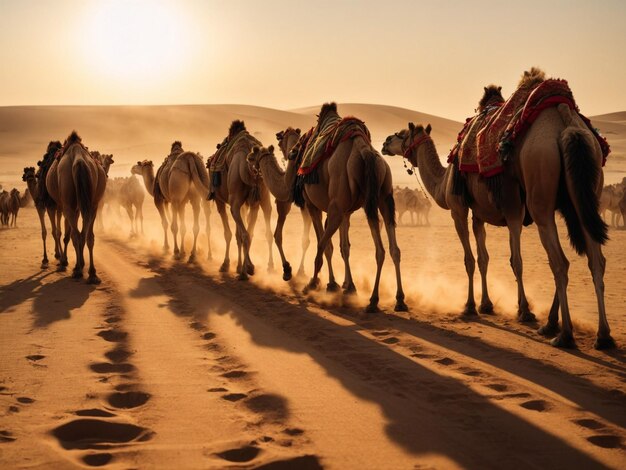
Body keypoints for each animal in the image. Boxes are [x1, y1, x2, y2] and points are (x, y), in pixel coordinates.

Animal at [45, 130, 106, 282]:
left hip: (68, 203)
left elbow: (68, 234)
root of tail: (79, 160)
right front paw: (81, 264)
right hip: (93, 204)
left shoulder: (67, 205)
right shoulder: (81, 206)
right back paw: (92, 273)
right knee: (87, 235)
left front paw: (66, 262)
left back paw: (77, 270)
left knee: (75, 234)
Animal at [207, 121, 272, 280]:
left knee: (244, 235)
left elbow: (229, 234)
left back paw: (246, 270)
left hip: (233, 201)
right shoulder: (248, 204)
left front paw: (226, 265)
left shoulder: (221, 201)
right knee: (254, 233)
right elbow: (239, 235)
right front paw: (237, 266)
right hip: (261, 196)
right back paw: (260, 267)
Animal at [246, 126, 336, 282]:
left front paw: (287, 269)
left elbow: (278, 235)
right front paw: (304, 272)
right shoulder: (306, 205)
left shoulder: (287, 202)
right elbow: (307, 240)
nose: (248, 157)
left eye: (254, 153)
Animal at [288, 104, 404, 314]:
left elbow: (327, 245)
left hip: (338, 205)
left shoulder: (316, 206)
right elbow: (344, 247)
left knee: (327, 244)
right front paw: (348, 287)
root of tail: (365, 152)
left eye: (300, 141)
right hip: (384, 197)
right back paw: (397, 300)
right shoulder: (347, 212)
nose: (292, 152)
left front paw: (329, 285)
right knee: (392, 249)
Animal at [382, 71, 612, 348]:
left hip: (539, 192)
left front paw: (476, 306)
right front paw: (487, 304)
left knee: (559, 262)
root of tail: (565, 119)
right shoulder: (479, 215)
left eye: (400, 134)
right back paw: (598, 335)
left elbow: (478, 259)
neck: (444, 182)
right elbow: (484, 259)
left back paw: (563, 334)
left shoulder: (462, 208)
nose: (384, 142)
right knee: (595, 261)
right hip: (584, 197)